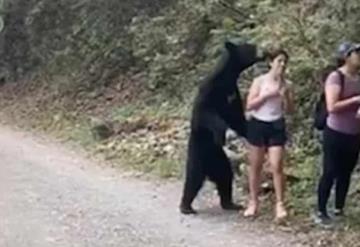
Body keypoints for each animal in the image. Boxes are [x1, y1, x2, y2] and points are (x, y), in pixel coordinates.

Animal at [179, 41, 266, 214]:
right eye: (251, 47)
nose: (263, 51)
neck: (227, 78)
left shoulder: (233, 94)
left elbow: (237, 119)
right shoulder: (210, 90)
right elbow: (206, 113)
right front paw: (223, 132)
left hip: (219, 160)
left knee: (225, 175)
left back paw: (230, 204)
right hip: (198, 154)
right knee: (193, 178)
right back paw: (186, 206)